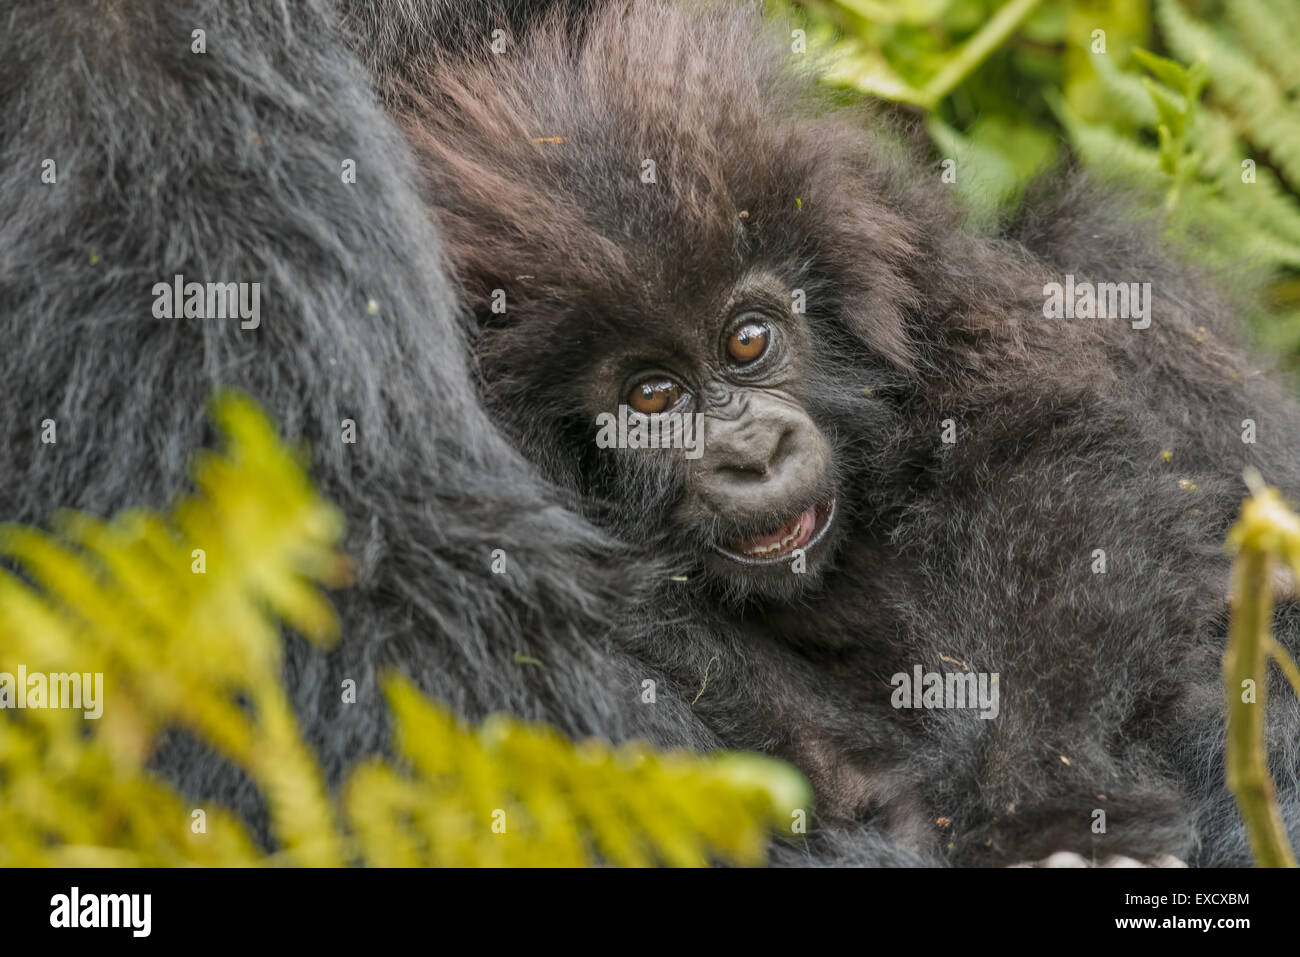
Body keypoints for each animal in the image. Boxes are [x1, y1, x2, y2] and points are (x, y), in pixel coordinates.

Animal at [395, 0, 1300, 865]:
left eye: (747, 340)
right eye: (651, 396)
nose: (754, 454)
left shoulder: (905, 257)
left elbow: (1043, 450)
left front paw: (1042, 797)